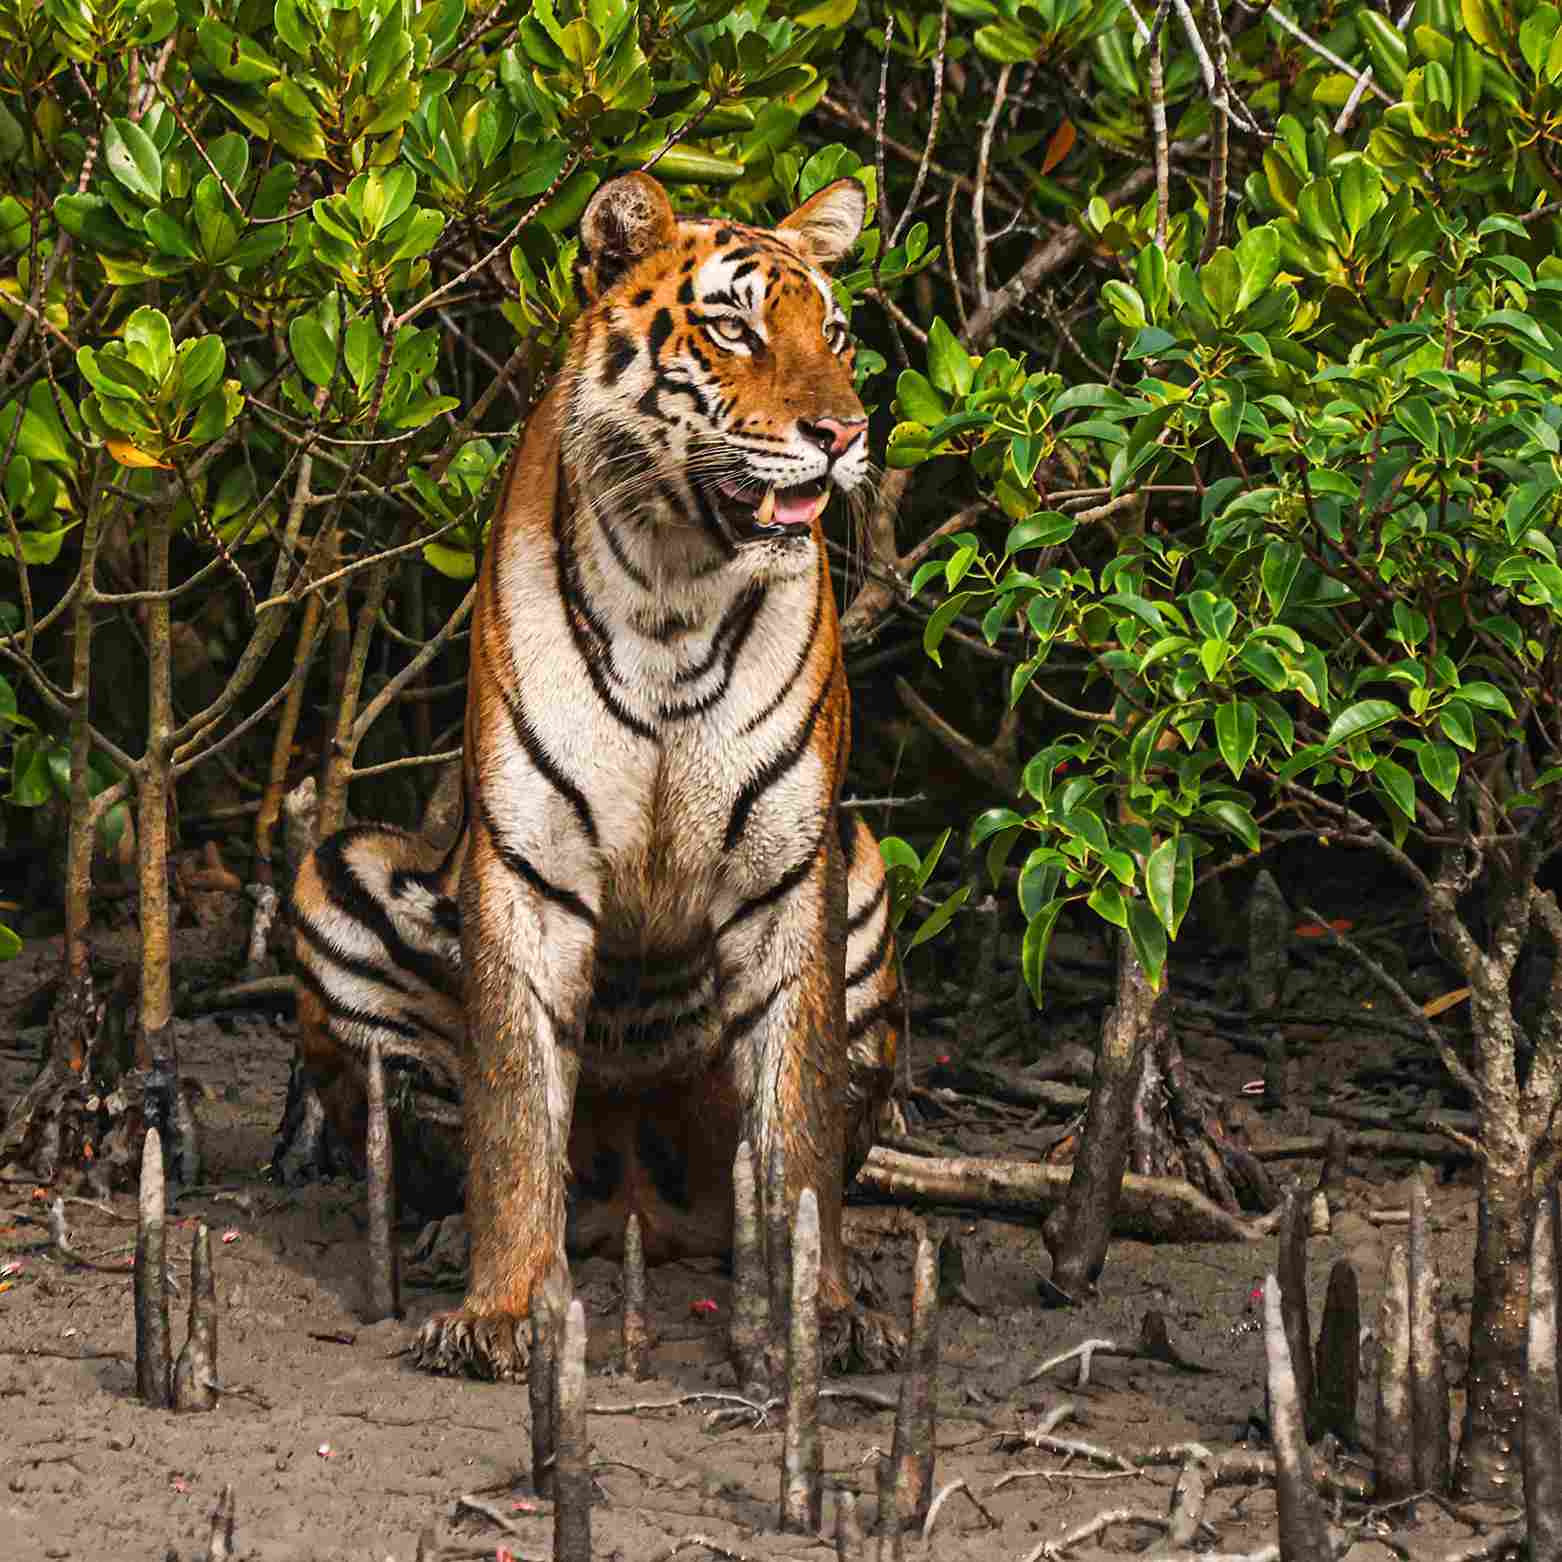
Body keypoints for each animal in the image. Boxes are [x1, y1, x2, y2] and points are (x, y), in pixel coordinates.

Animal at [280, 169, 906, 1382]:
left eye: (837, 333)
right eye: (734, 327)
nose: (844, 431)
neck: (678, 582)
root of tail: (639, 1209)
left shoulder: (790, 869)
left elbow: (799, 1124)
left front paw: (826, 1315)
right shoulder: (529, 865)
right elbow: (517, 1107)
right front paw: (503, 1312)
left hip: (861, 870)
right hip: (341, 872)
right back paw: (444, 1238)